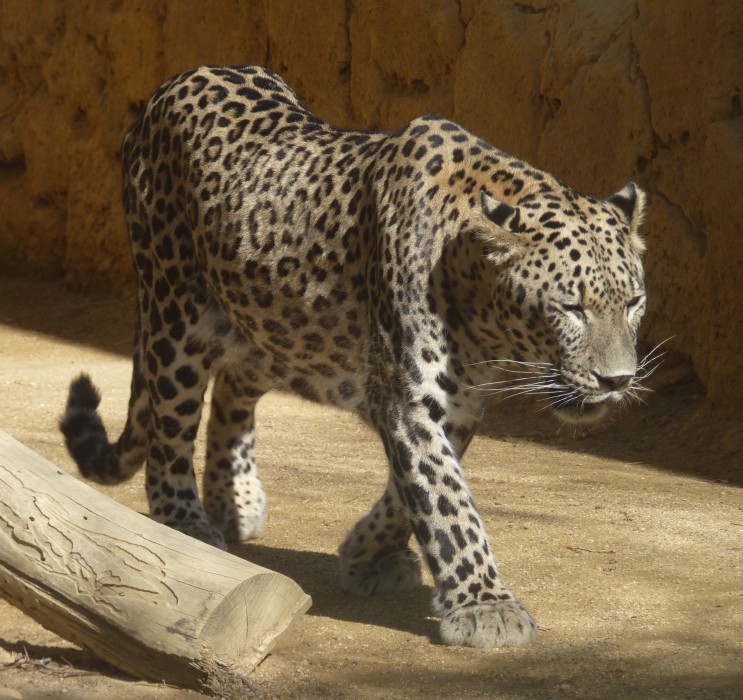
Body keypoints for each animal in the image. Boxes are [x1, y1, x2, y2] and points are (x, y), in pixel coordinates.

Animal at [60, 65, 648, 649]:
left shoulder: (455, 403)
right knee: (169, 428)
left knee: (234, 382)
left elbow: (415, 493)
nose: (617, 380)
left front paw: (369, 552)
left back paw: (235, 499)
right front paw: (486, 606)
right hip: (173, 309)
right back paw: (185, 524)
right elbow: (446, 500)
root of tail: (174, 82)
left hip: (276, 319)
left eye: (634, 302)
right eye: (571, 308)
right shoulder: (410, 398)